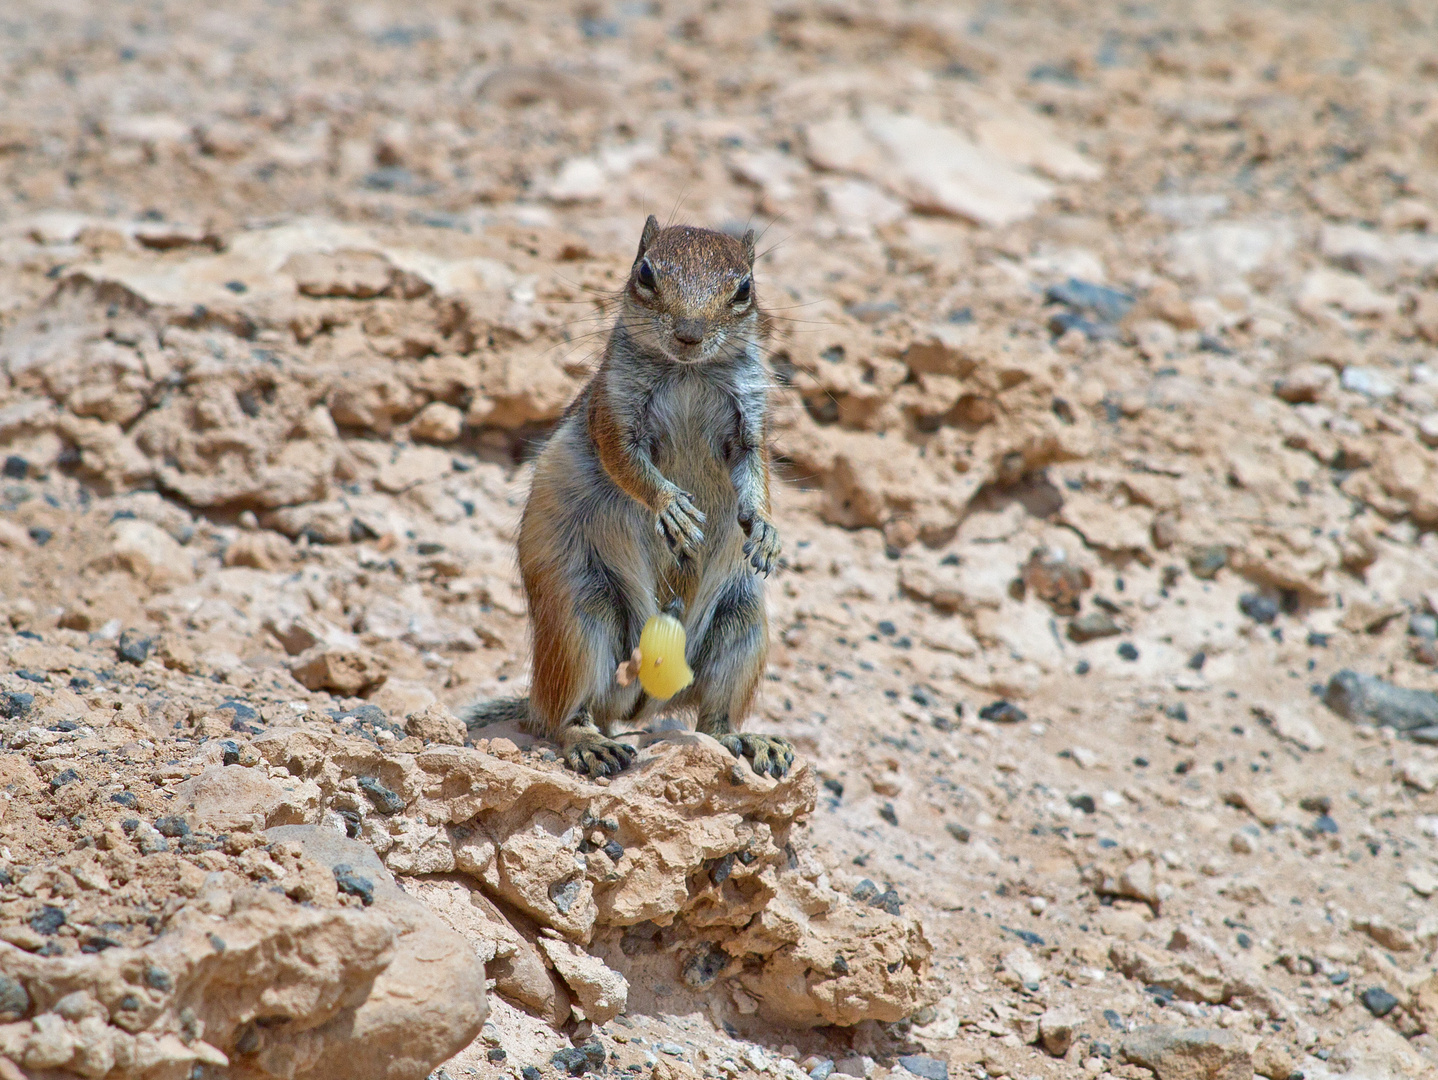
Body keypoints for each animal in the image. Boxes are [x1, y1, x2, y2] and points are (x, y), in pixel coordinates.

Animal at [463, 215, 793, 782]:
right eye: (645, 273)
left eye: (744, 289)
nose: (689, 335)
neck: (688, 371)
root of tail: (640, 702)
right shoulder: (612, 411)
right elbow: (626, 464)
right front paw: (671, 508)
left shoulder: (750, 422)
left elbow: (756, 471)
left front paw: (767, 531)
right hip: (581, 616)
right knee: (566, 714)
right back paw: (591, 744)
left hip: (743, 625)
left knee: (714, 720)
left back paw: (750, 740)